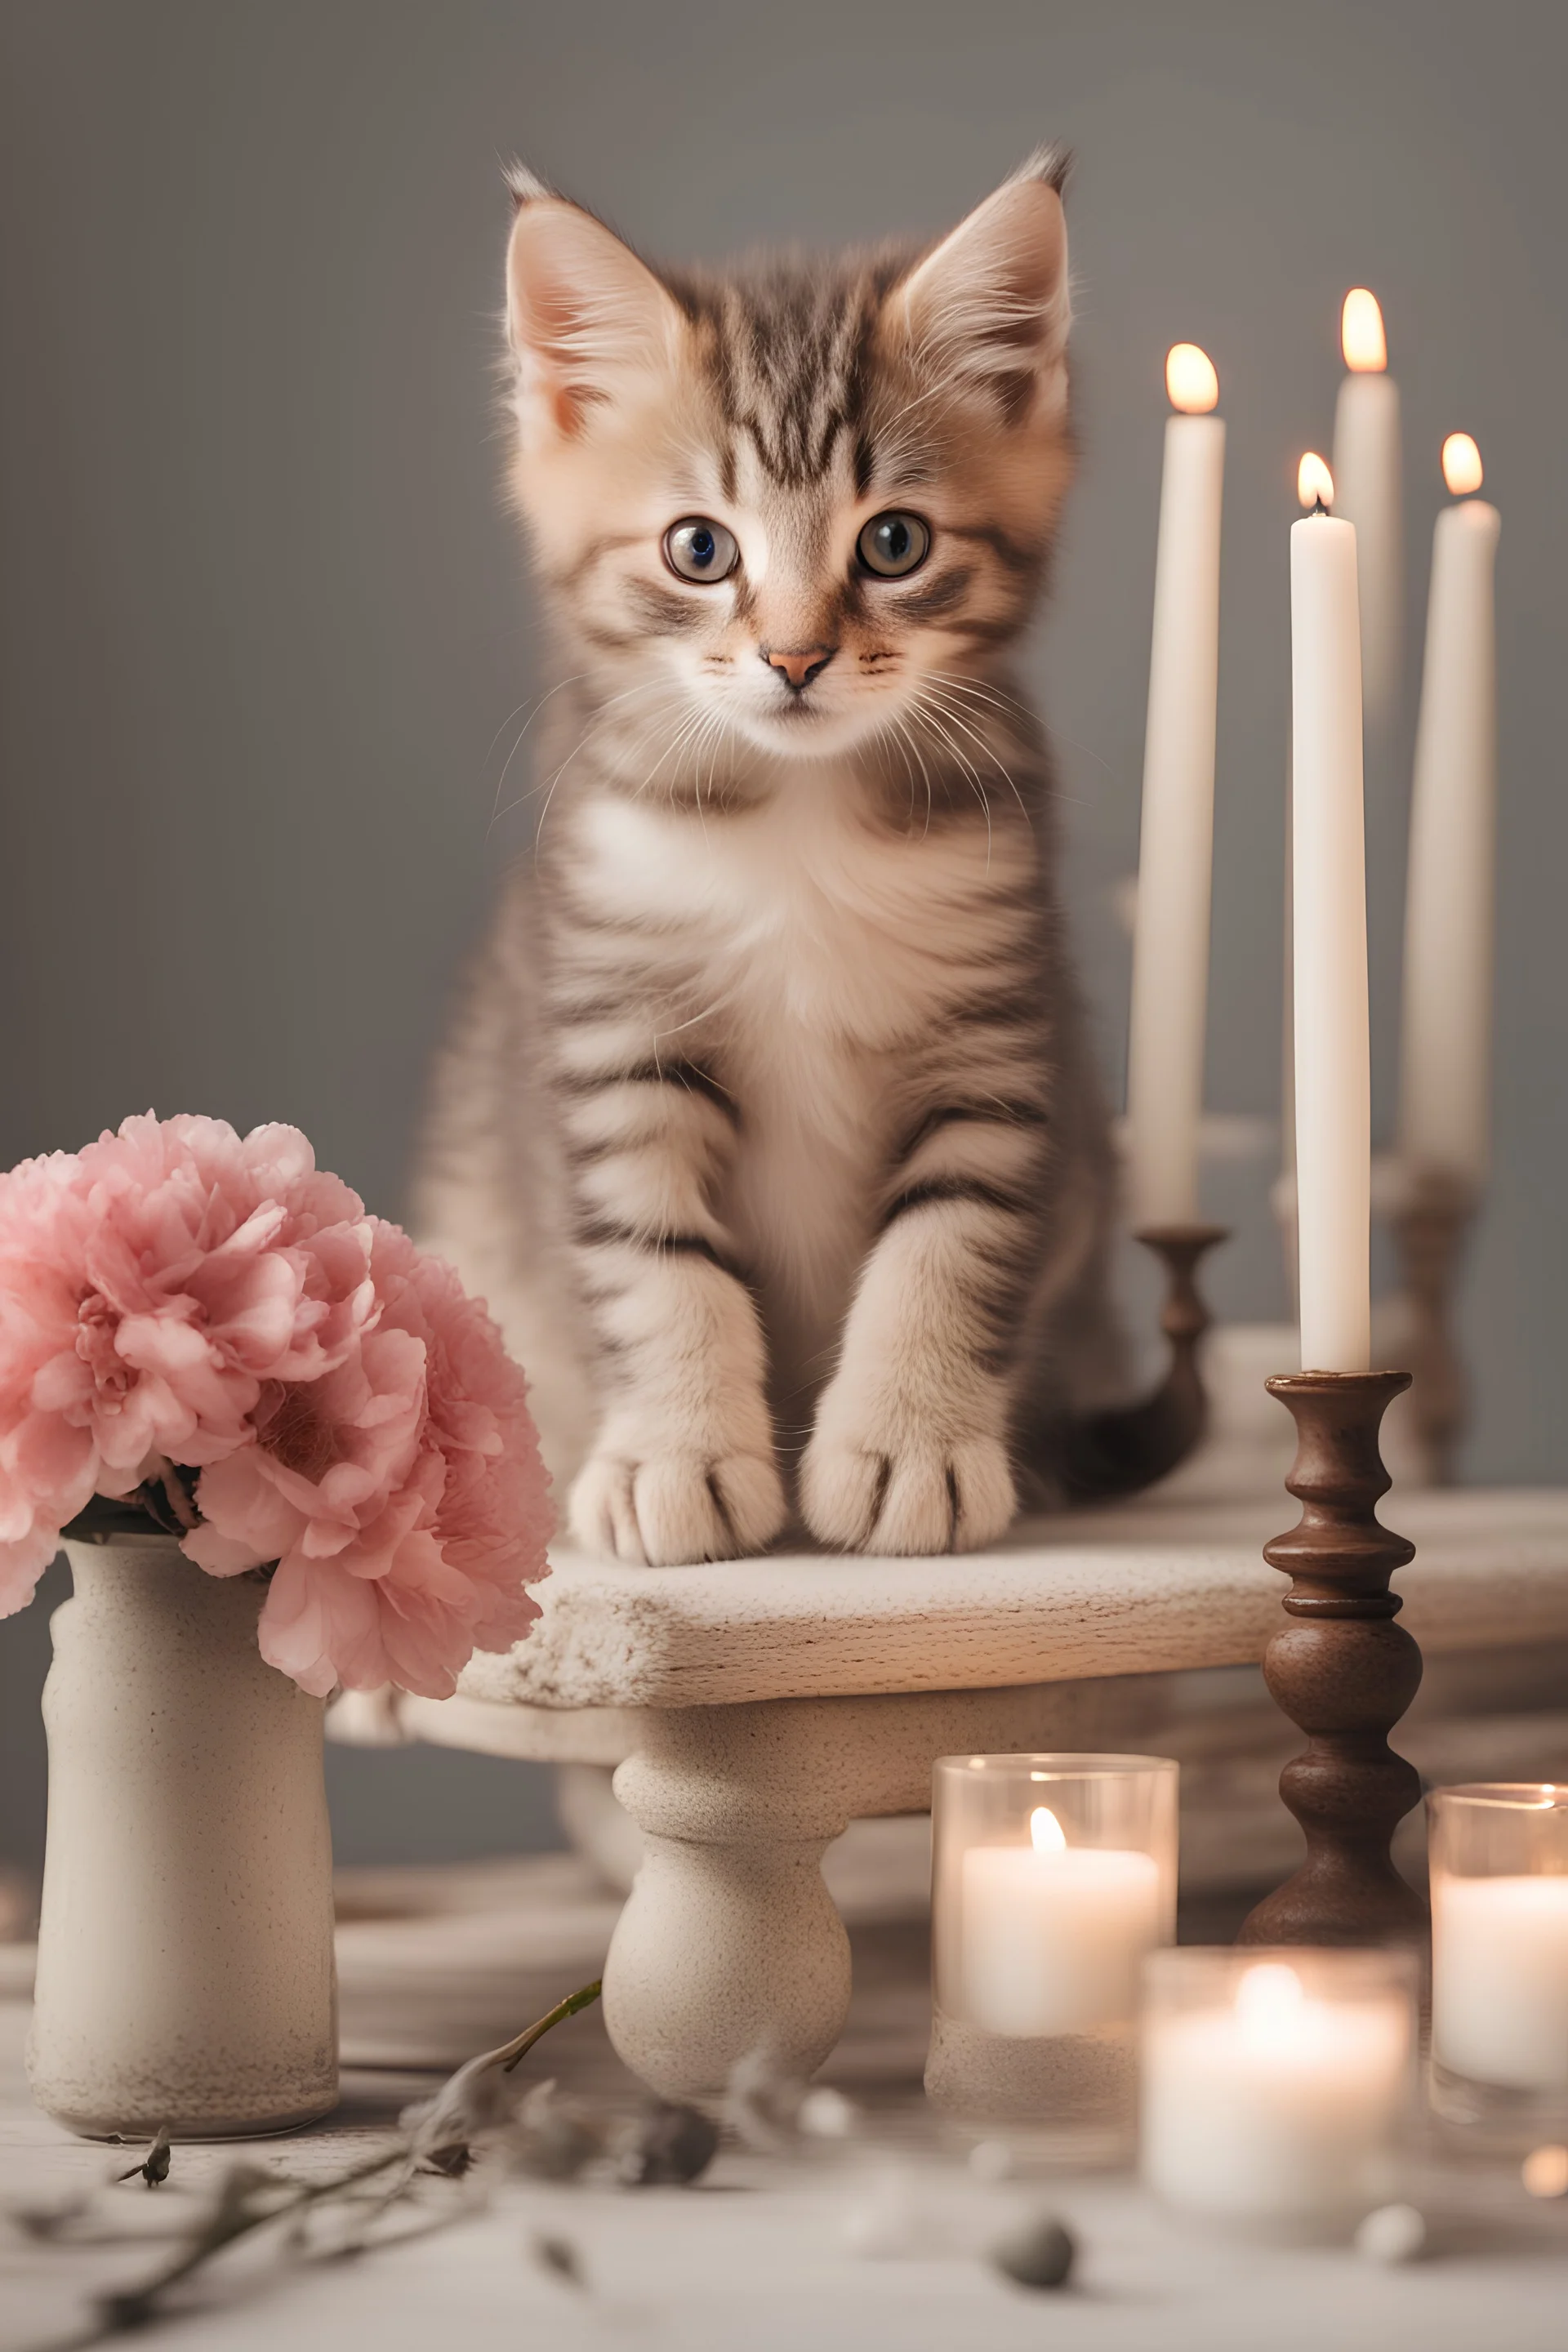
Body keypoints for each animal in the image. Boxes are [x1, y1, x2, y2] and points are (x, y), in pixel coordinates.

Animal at [416, 151, 1128, 1561]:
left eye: (894, 542)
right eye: (701, 549)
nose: (795, 657)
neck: (795, 813)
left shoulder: (994, 1026)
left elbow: (949, 1237)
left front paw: (910, 1444)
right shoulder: (614, 1020)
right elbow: (653, 1259)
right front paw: (675, 1453)